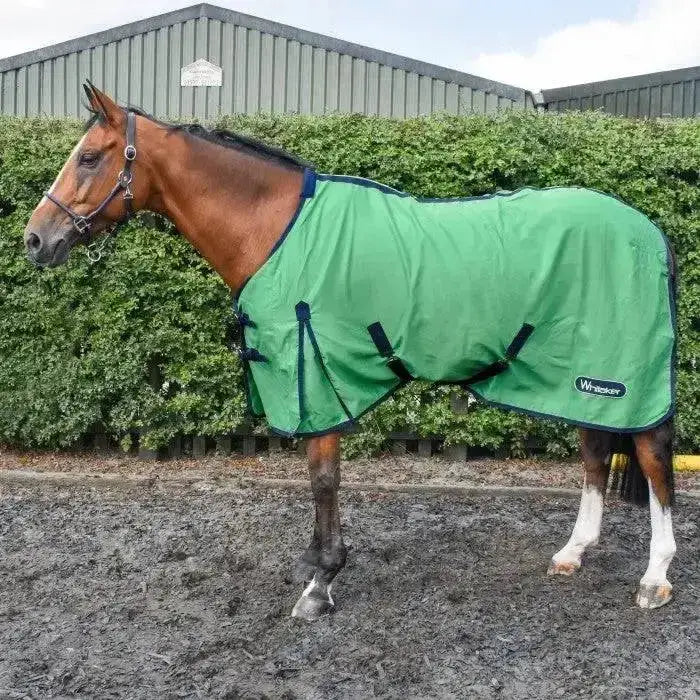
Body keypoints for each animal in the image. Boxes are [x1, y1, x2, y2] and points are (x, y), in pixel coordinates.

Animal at [24, 83, 677, 621]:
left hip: (620, 374)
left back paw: (654, 578)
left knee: (652, 458)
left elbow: (322, 478)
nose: (34, 240)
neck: (276, 229)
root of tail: (649, 229)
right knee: (595, 453)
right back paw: (573, 552)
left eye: (89, 157)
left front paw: (321, 583)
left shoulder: (314, 371)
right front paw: (314, 565)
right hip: (579, 375)